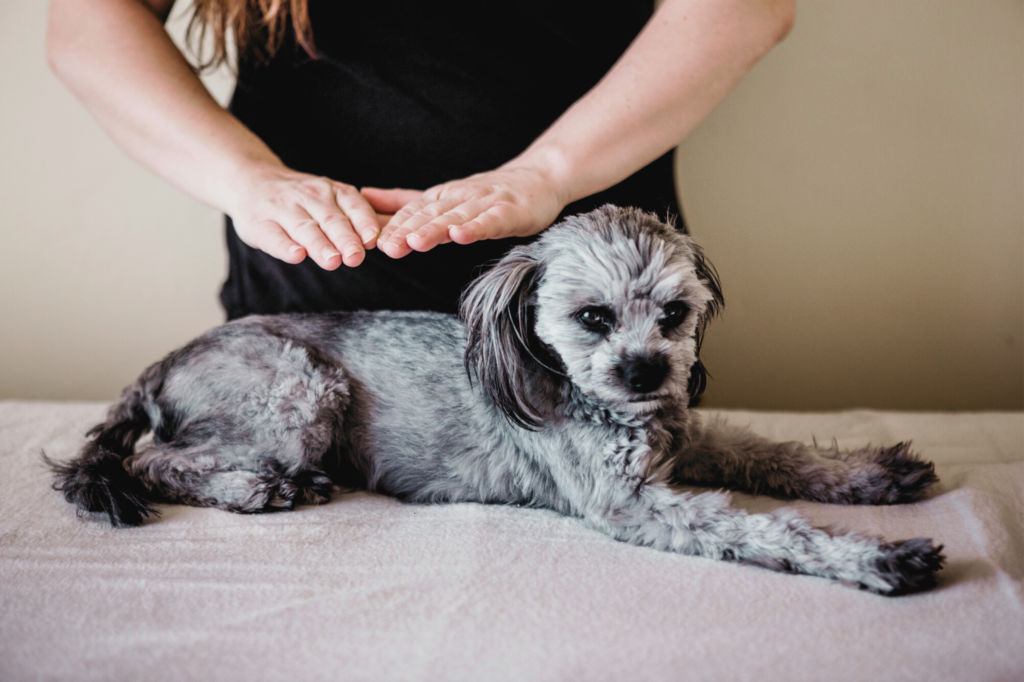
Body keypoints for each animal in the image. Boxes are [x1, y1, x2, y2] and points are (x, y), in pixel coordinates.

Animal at [48, 204, 942, 593]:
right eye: (592, 318)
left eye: (674, 314)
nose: (648, 373)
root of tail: (163, 364)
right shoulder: (629, 503)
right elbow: (770, 528)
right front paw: (874, 557)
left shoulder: (686, 437)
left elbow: (772, 451)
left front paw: (870, 476)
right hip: (302, 390)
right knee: (159, 461)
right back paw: (257, 488)